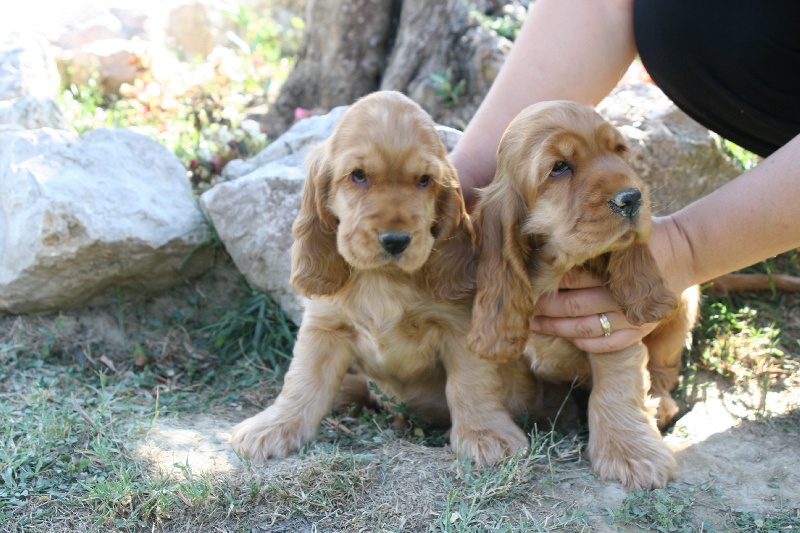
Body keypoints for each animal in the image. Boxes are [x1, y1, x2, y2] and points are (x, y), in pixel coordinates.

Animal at [228, 91, 536, 466]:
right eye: (358, 175)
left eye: (424, 180)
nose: (395, 240)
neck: (382, 279)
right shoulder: (324, 327)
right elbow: (303, 381)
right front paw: (274, 426)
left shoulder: (460, 326)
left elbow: (471, 381)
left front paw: (485, 433)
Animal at [468, 101, 700, 490]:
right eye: (560, 167)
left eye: (619, 151)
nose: (632, 197)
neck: (557, 273)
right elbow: (513, 388)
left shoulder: (612, 332)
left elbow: (615, 387)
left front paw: (631, 456)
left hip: (684, 302)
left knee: (664, 368)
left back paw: (659, 405)